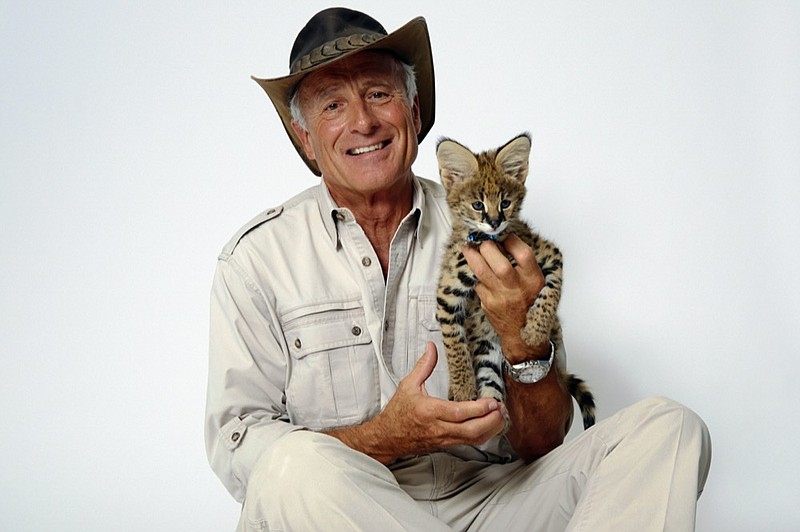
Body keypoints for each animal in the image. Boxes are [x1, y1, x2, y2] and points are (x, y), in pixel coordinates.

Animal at [434, 133, 596, 432]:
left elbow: (550, 293)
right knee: (488, 375)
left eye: (505, 203)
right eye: (478, 205)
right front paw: (462, 387)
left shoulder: (550, 255)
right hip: (485, 347)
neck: (490, 242)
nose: (495, 221)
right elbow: (453, 341)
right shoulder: (447, 293)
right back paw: (495, 409)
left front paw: (534, 331)